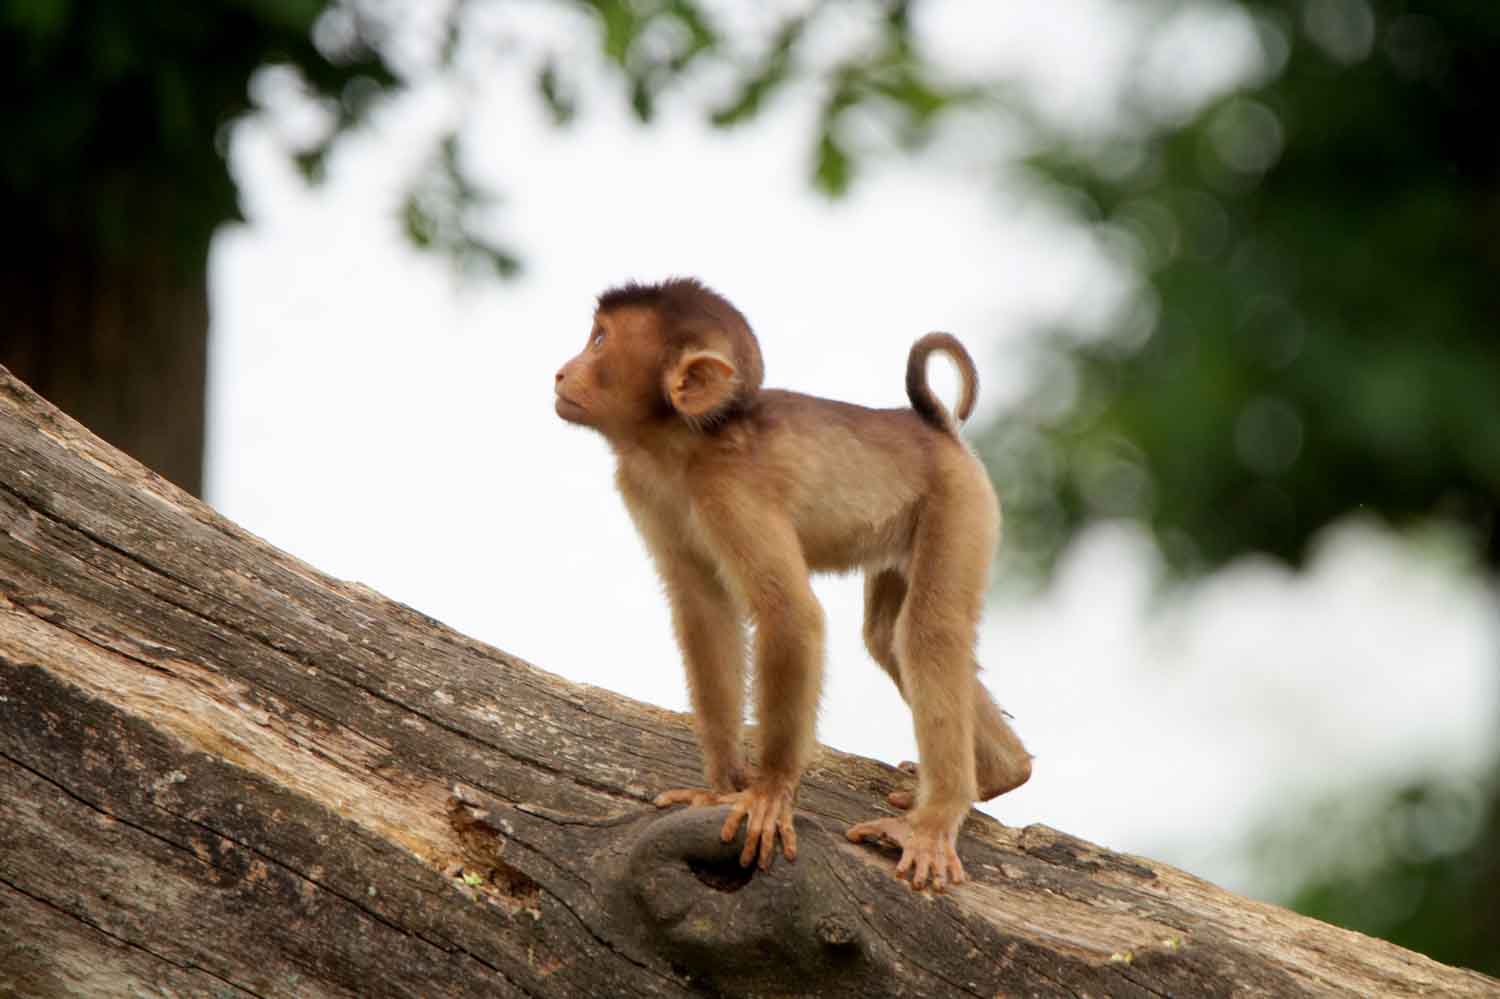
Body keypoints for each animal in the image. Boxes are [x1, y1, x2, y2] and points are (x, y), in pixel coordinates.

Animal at [552, 274, 1032, 888]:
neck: (686, 441)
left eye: (598, 340)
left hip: (960, 503)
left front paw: (769, 792)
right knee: (887, 636)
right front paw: (719, 786)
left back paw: (937, 818)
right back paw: (1003, 773)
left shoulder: (729, 487)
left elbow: (788, 615)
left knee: (929, 633)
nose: (562, 371)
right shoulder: (642, 484)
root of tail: (938, 429)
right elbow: (703, 610)